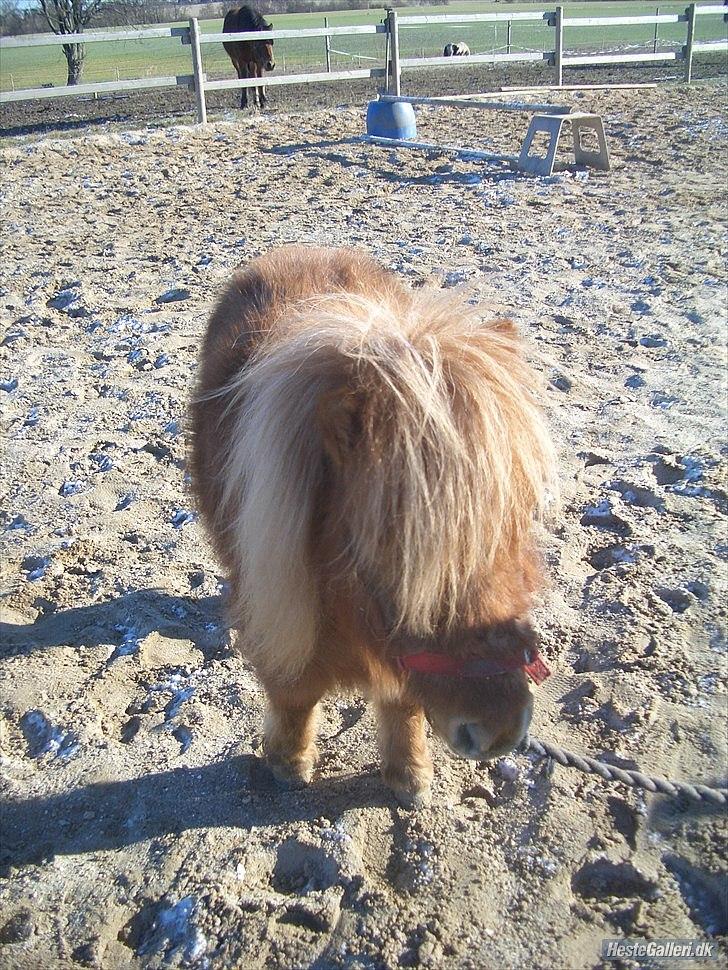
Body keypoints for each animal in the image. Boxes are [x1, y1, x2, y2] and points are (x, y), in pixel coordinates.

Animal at [189, 246, 557, 808]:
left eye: (519, 521)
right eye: (395, 549)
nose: (500, 731)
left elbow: (402, 701)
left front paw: (408, 772)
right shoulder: (284, 601)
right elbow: (294, 688)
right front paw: (289, 762)